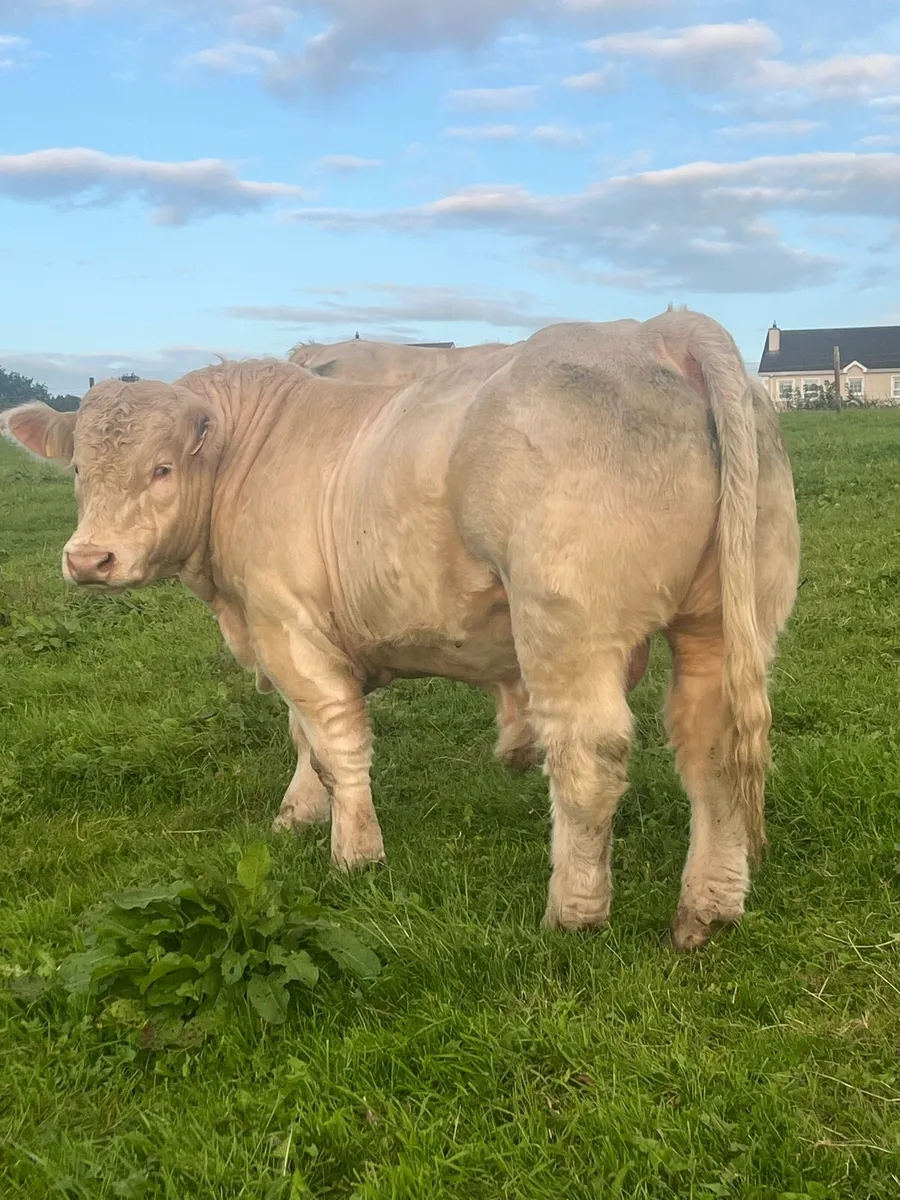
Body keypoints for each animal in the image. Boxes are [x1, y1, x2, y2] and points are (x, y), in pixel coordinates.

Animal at [2, 309, 800, 949]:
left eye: (162, 468)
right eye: (78, 469)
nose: (89, 559)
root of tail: (659, 329)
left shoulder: (288, 623)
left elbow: (334, 741)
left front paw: (354, 853)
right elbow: (303, 736)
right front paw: (298, 814)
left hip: (567, 624)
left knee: (589, 758)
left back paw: (573, 913)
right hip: (723, 618)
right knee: (713, 748)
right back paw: (707, 910)